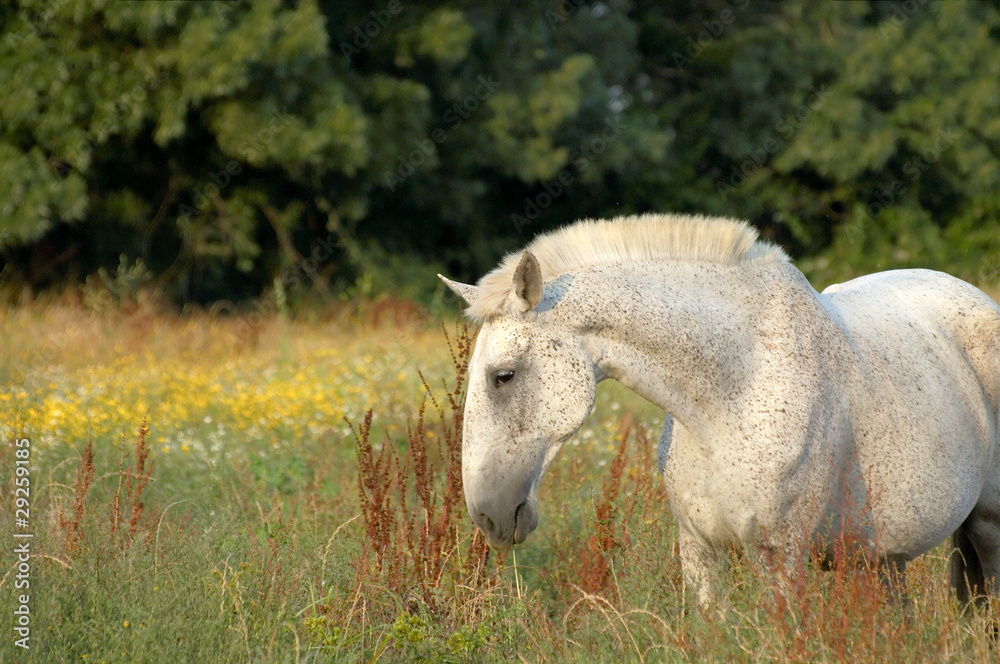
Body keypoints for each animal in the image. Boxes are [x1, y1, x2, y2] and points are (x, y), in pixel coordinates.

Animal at [438, 213, 1000, 608]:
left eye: (503, 376)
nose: (486, 517)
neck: (731, 395)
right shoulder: (700, 553)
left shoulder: (781, 560)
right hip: (882, 559)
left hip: (987, 530)